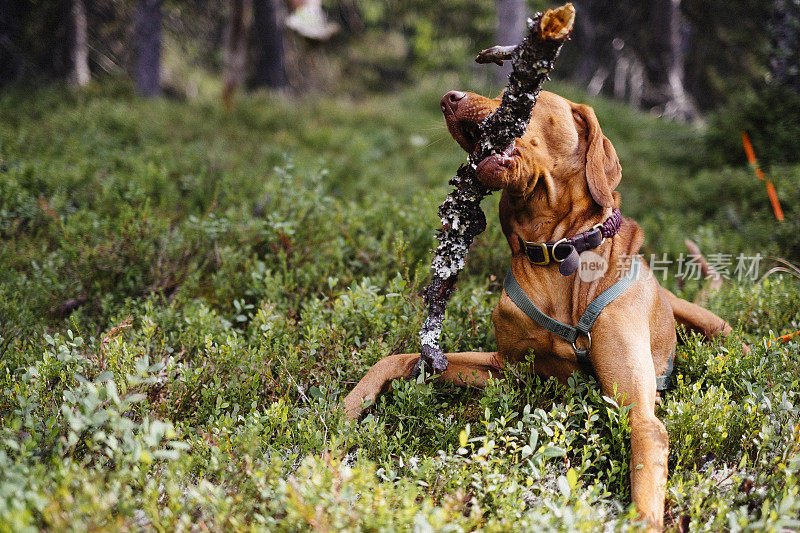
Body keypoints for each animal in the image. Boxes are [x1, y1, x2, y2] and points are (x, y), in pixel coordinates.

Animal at [342, 89, 732, 528]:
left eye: (530, 97)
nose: (448, 97)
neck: (555, 252)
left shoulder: (639, 415)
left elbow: (645, 495)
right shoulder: (508, 370)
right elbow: (397, 358)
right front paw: (345, 411)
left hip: (712, 327)